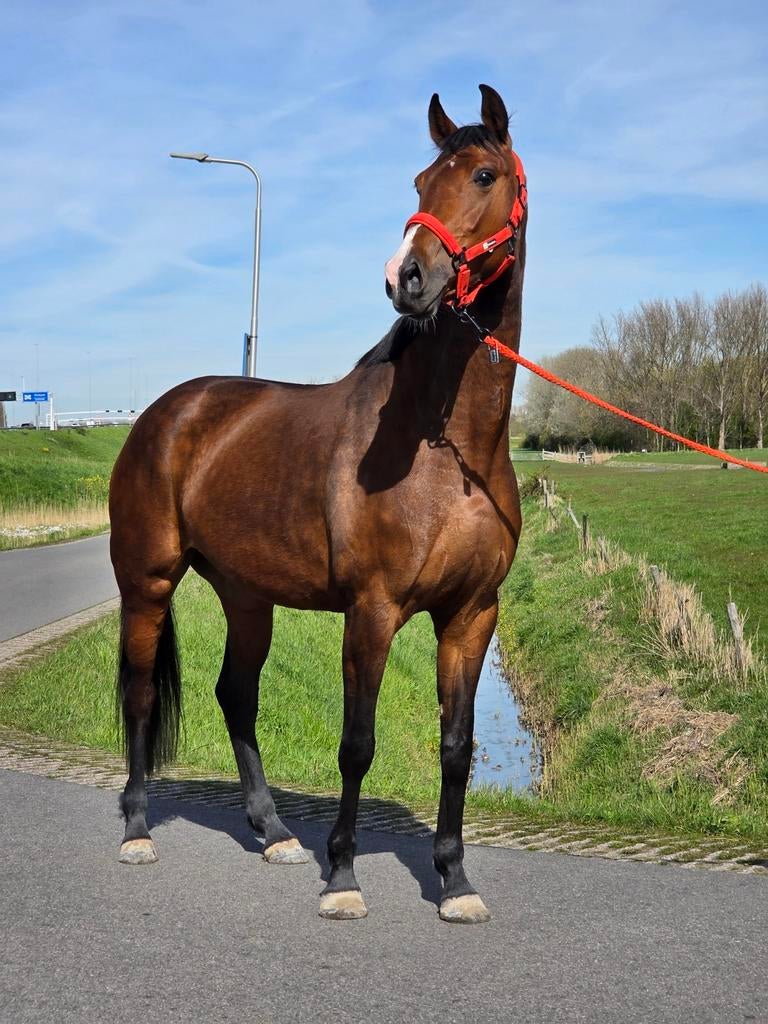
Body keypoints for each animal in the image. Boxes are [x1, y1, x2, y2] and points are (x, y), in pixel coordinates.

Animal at [110, 83, 527, 925]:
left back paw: (273, 833)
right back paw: (138, 830)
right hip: (148, 584)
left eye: (484, 175)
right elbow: (357, 744)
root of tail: (164, 414)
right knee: (140, 696)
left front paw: (454, 880)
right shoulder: (372, 611)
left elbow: (457, 747)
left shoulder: (472, 615)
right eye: (419, 181)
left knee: (235, 696)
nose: (408, 277)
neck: (448, 449)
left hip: (247, 597)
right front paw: (343, 876)